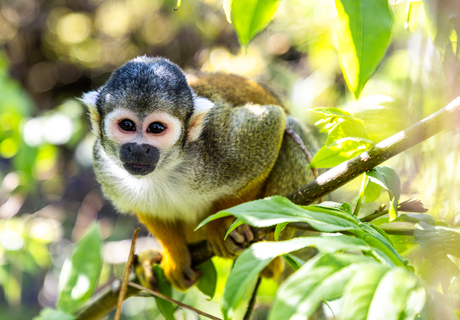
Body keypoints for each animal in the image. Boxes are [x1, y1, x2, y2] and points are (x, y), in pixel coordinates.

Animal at [82, 55, 316, 290]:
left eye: (156, 128)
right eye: (127, 125)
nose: (139, 149)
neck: (168, 165)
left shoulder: (219, 143)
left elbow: (271, 125)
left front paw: (224, 225)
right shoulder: (102, 163)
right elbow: (149, 209)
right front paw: (175, 254)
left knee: (290, 129)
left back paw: (269, 258)